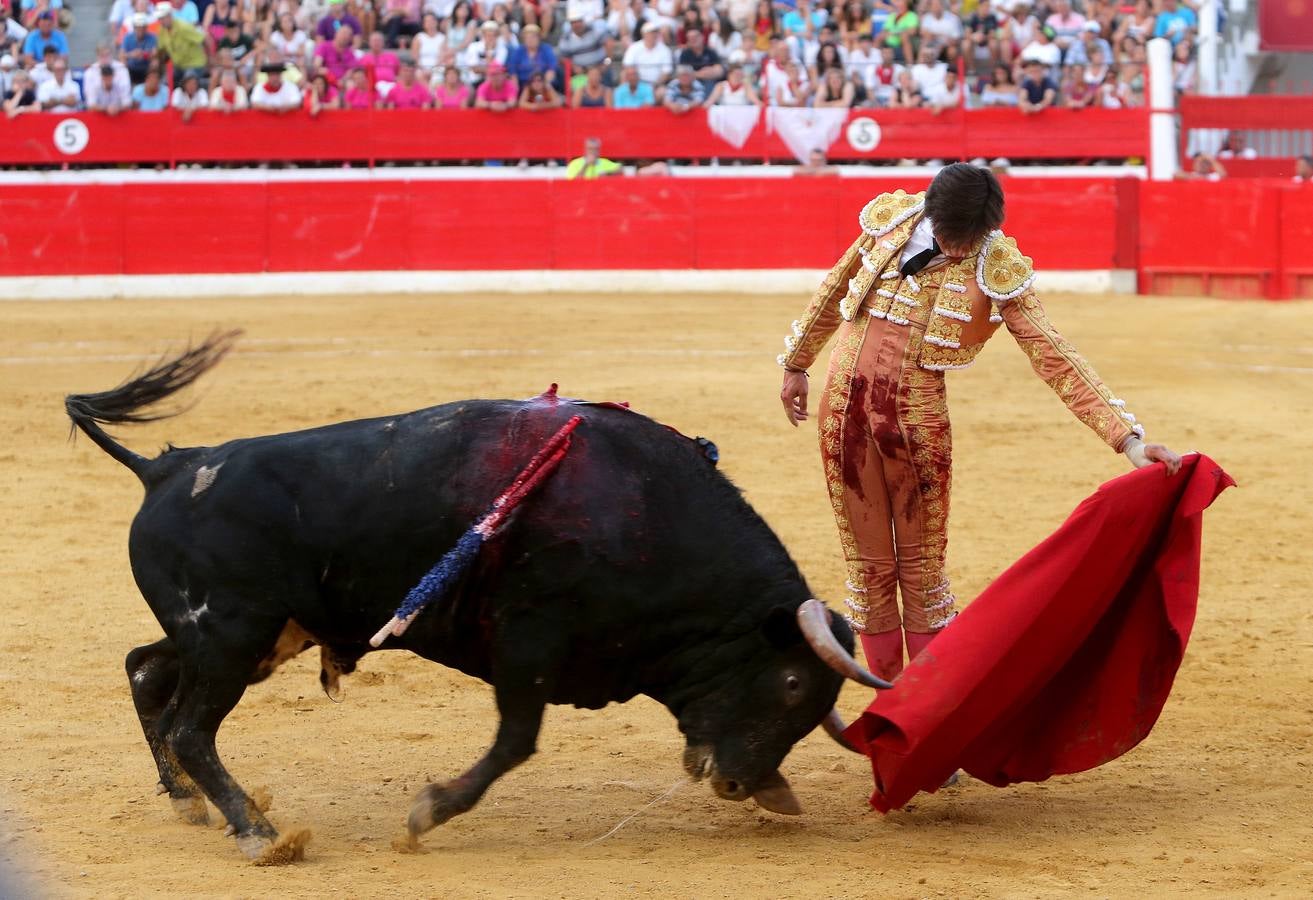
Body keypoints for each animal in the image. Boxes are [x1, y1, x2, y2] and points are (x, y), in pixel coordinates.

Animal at [64, 333, 892, 861]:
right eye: (792, 684)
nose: (739, 784)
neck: (641, 514)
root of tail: (167, 469)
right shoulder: (529, 640)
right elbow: (515, 743)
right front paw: (425, 814)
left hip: (250, 633)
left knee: (148, 671)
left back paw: (188, 803)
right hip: (232, 635)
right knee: (191, 728)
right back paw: (260, 836)